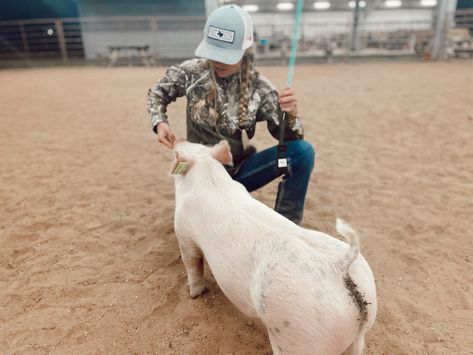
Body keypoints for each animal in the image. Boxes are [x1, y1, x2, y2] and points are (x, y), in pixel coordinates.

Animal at [170, 140, 376, 354]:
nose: (179, 140)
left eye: (176, 153)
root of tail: (339, 265)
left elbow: (192, 265)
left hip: (300, 335)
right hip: (362, 325)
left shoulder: (184, 233)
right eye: (197, 144)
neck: (207, 173)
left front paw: (193, 294)